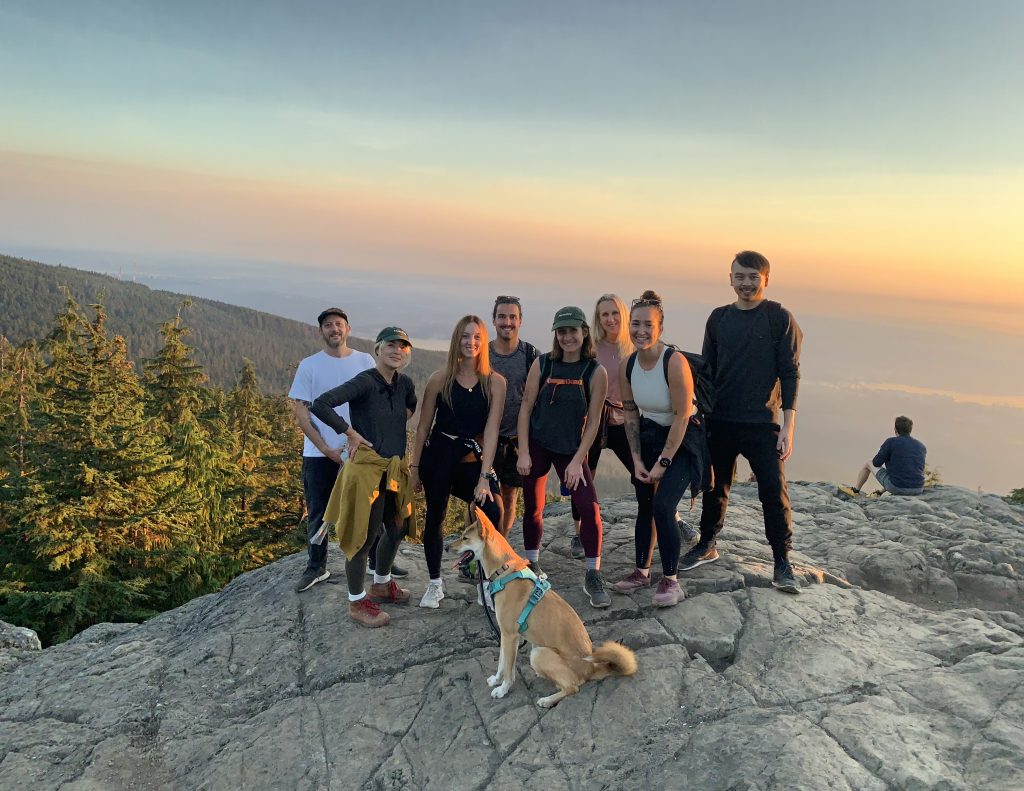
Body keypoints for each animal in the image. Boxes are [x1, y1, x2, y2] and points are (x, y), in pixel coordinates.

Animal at [452, 510, 634, 709]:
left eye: (465, 538)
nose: (446, 548)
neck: (504, 571)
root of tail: (591, 668)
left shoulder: (510, 636)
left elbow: (508, 670)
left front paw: (503, 689)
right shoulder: (505, 635)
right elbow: (501, 663)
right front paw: (496, 680)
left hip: (538, 653)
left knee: (573, 687)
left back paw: (547, 700)